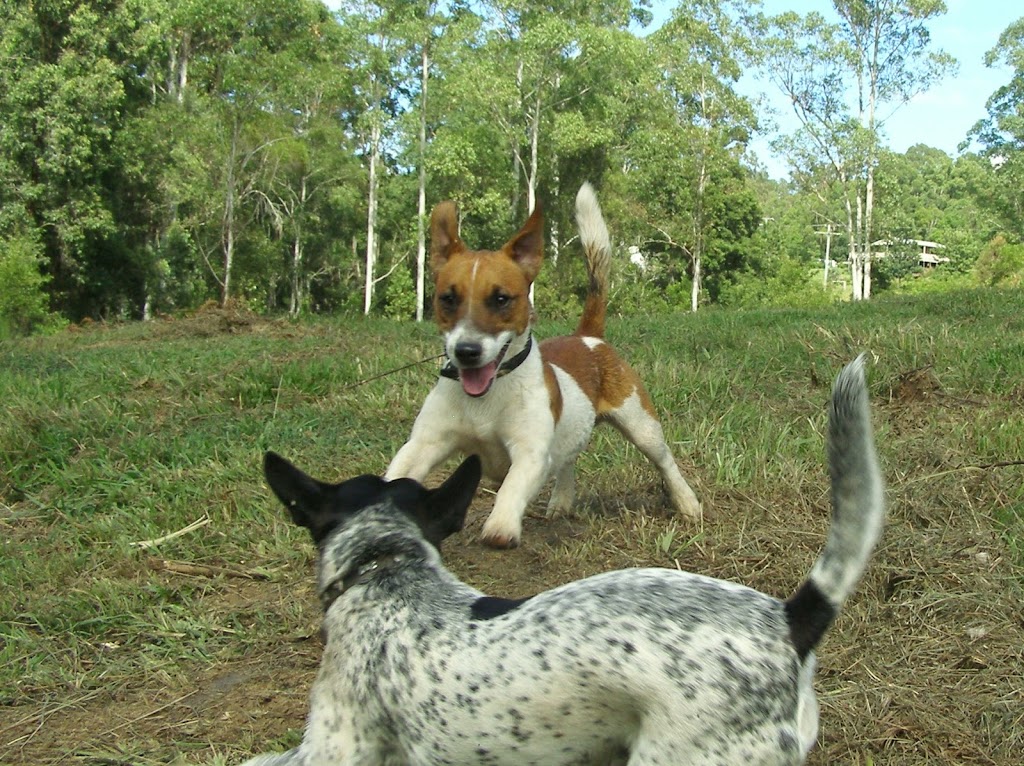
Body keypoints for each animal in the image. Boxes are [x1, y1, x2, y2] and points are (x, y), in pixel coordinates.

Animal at [385, 182, 704, 548]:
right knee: (567, 459)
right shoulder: (424, 445)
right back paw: (562, 500)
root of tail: (587, 336)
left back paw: (686, 501)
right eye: (447, 298)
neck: (488, 395)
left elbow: (511, 487)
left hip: (642, 425)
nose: (467, 351)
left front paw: (501, 525)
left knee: (664, 461)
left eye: (501, 299)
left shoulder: (530, 452)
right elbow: (397, 476)